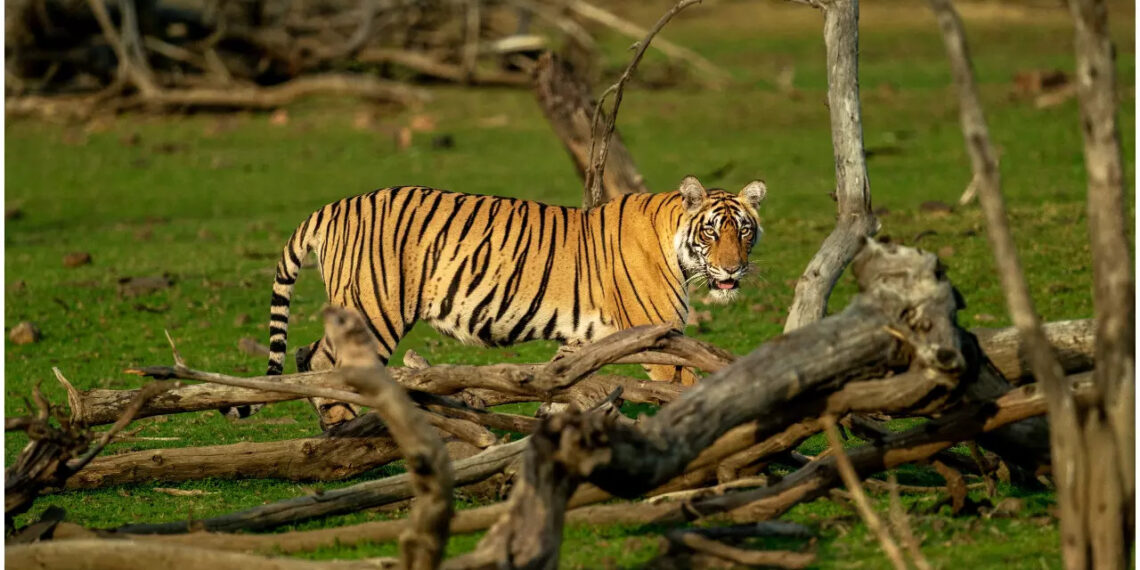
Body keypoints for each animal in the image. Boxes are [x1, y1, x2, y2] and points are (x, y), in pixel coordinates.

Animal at [220, 175, 768, 428]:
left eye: (743, 230)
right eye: (713, 232)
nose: (732, 269)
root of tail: (332, 207)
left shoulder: (583, 340)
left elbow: (563, 384)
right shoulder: (659, 339)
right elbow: (689, 388)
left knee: (307, 354)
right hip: (374, 310)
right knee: (324, 360)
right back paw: (340, 423)